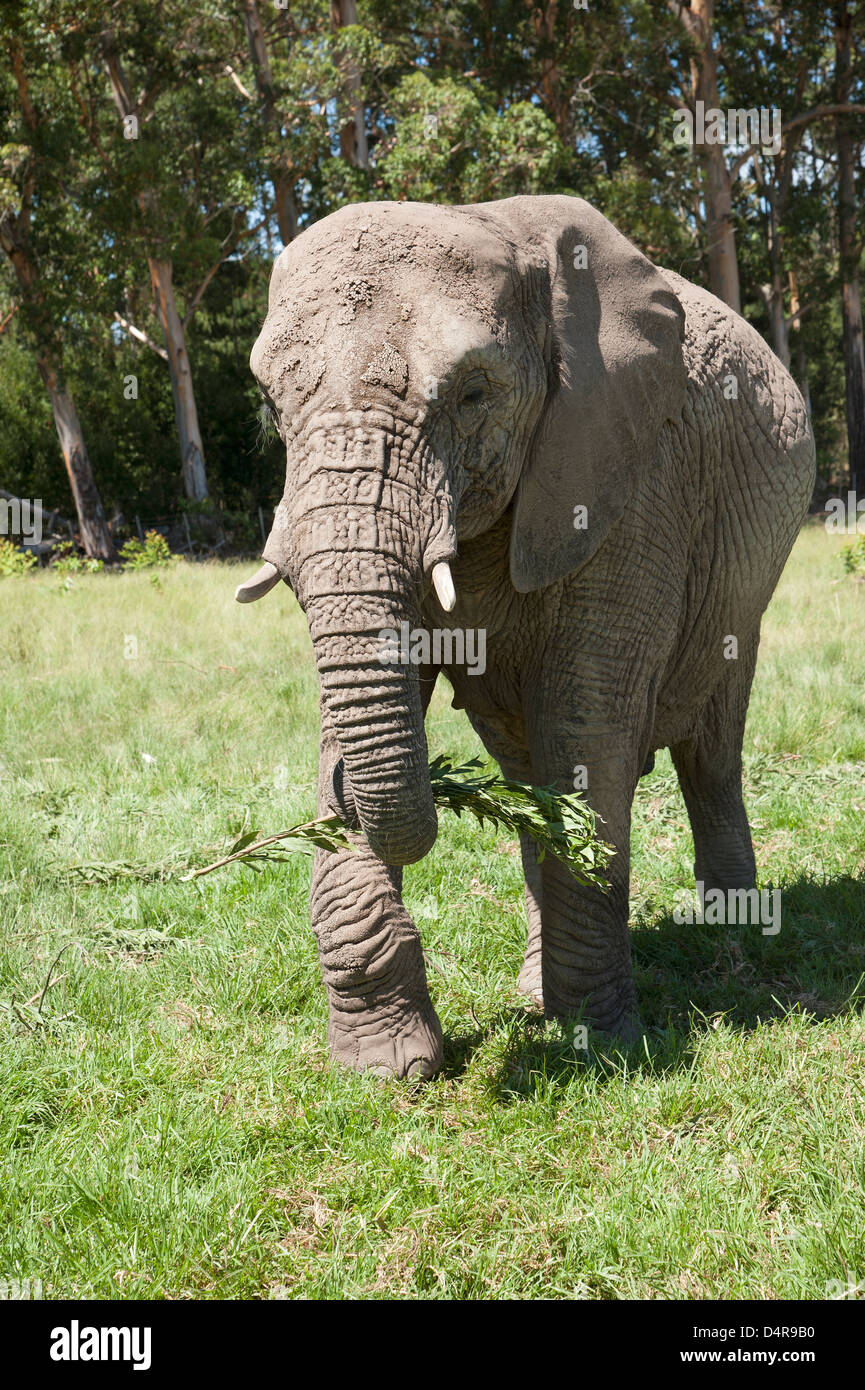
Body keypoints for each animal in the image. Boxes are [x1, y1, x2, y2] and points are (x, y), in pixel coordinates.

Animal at [236, 194, 815, 1078]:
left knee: (708, 754)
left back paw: (733, 949)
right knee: (523, 769)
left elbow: (587, 722)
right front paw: (386, 1069)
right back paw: (530, 987)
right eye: (270, 405)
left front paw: (599, 1045)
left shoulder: (634, 475)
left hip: (742, 589)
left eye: (474, 392)